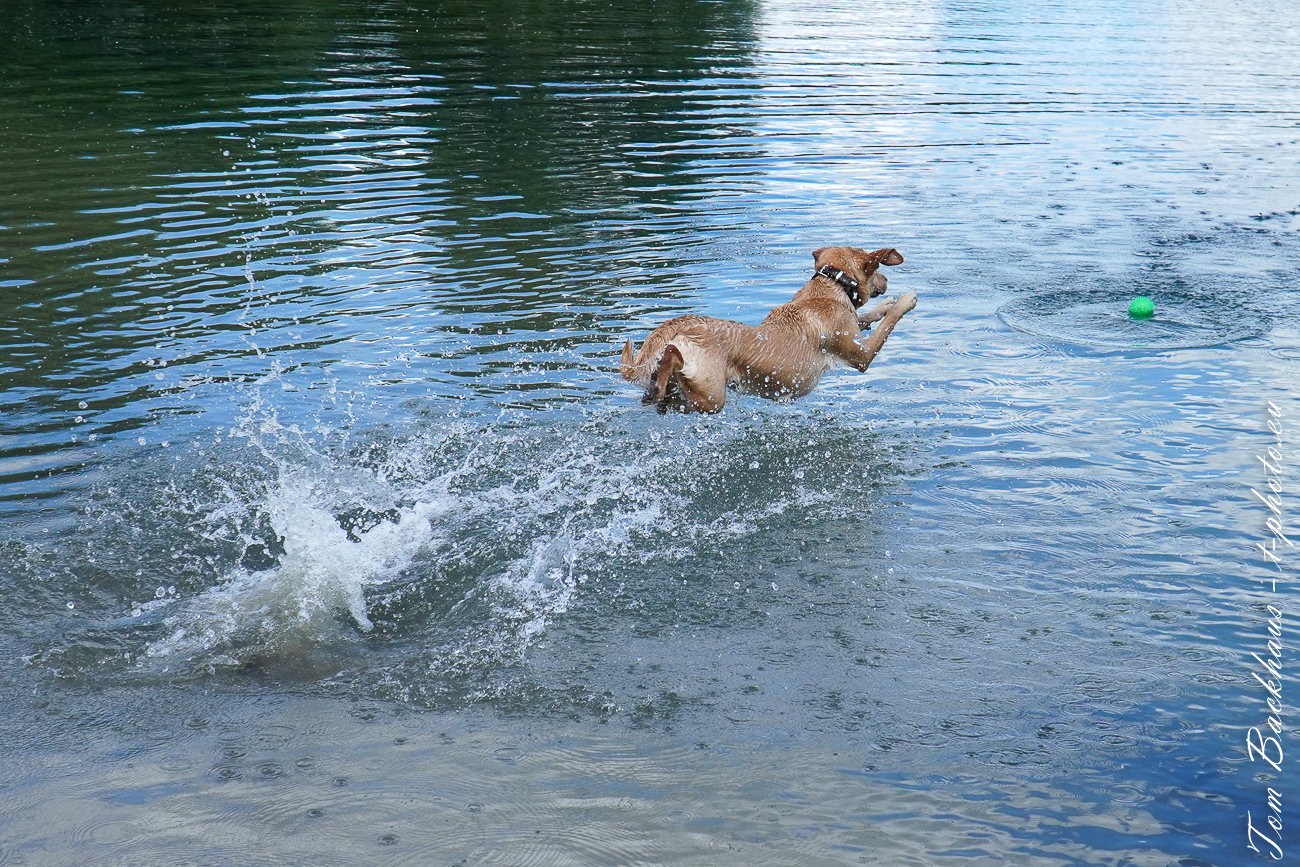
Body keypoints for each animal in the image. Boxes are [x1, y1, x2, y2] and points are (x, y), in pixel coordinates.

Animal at [618, 245, 915, 415]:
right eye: (877, 269)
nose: (886, 281)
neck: (831, 285)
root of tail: (684, 324)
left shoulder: (854, 330)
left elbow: (867, 317)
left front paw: (885, 304)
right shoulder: (860, 355)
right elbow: (885, 325)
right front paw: (904, 301)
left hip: (690, 399)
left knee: (666, 400)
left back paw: (655, 387)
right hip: (712, 397)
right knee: (673, 361)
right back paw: (662, 371)